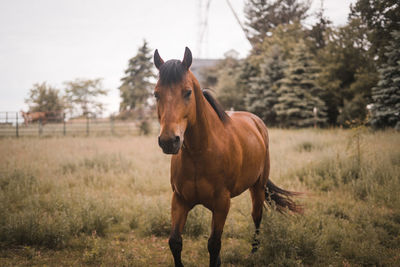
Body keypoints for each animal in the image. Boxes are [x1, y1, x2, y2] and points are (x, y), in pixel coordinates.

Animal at [153, 47, 300, 266]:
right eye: (156, 94)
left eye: (187, 92)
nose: (169, 141)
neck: (200, 153)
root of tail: (256, 121)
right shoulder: (179, 200)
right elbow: (175, 242)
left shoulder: (222, 204)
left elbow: (214, 245)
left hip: (257, 187)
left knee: (257, 217)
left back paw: (253, 253)